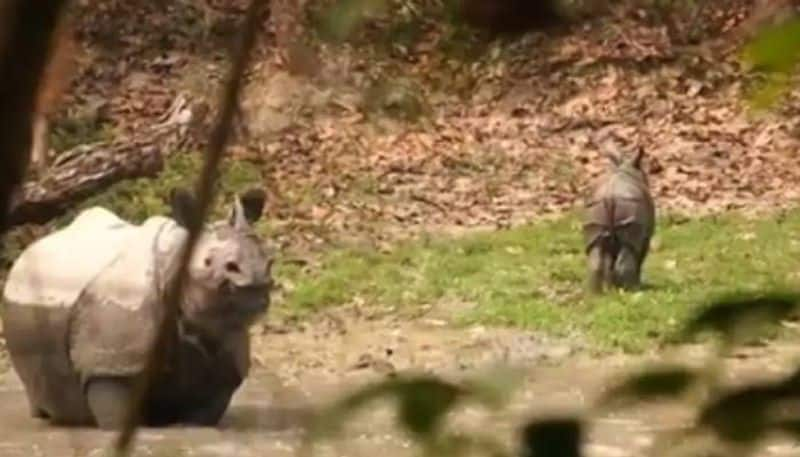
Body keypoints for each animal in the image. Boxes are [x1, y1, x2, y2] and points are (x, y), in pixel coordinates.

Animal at [1, 185, 274, 428]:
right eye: (207, 262)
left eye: (269, 260)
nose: (255, 278)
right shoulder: (111, 361)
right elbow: (115, 410)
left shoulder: (224, 344)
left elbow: (207, 408)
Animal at [584, 148, 652, 294]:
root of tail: (610, 194)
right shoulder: (646, 236)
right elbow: (640, 257)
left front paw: (611, 288)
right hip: (629, 203)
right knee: (629, 250)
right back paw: (631, 290)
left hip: (594, 205)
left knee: (596, 251)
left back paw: (595, 294)